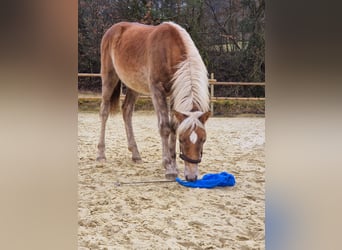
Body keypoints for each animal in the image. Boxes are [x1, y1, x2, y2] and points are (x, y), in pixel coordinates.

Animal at [96, 21, 211, 181]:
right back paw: (101, 154)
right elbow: (164, 127)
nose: (191, 176)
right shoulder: (157, 90)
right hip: (109, 78)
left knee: (127, 111)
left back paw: (136, 154)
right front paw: (168, 167)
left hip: (134, 85)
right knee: (104, 111)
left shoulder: (174, 93)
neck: (169, 50)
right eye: (182, 140)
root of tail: (114, 29)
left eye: (203, 139)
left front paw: (174, 164)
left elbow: (174, 126)